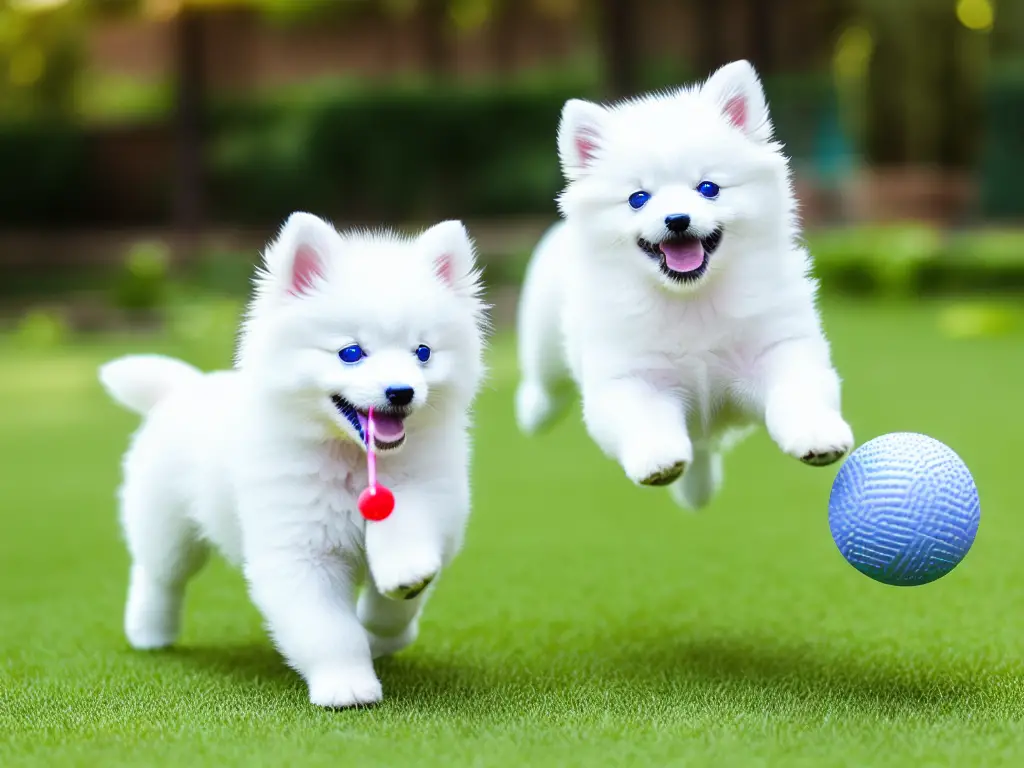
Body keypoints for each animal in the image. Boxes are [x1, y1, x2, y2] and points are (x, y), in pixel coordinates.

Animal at [98, 210, 487, 708]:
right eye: (351, 353)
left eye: (423, 352)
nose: (401, 392)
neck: (353, 460)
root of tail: (183, 389)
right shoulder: (299, 552)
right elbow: (329, 631)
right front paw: (347, 685)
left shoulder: (432, 496)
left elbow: (404, 554)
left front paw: (397, 596)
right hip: (168, 527)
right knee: (159, 576)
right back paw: (150, 632)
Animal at [516, 61, 851, 512]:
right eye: (638, 198)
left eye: (708, 188)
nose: (677, 219)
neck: (693, 299)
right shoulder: (631, 376)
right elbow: (643, 417)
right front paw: (657, 461)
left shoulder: (775, 349)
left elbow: (799, 390)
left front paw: (818, 437)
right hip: (544, 336)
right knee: (546, 384)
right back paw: (532, 411)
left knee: (703, 451)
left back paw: (697, 489)